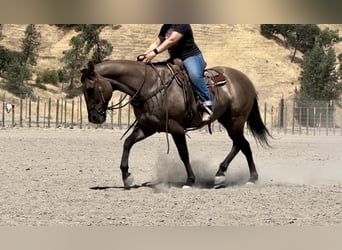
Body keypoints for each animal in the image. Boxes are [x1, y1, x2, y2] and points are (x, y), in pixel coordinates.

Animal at [81, 59, 272, 188]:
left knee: (242, 145)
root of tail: (245, 79)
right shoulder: (148, 127)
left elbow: (183, 153)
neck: (149, 85)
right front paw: (126, 176)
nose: (94, 118)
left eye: (90, 89)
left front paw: (190, 180)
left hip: (235, 121)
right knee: (242, 145)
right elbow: (128, 143)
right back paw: (231, 175)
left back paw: (241, 177)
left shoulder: (175, 128)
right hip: (227, 120)